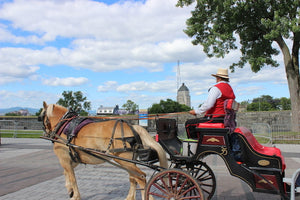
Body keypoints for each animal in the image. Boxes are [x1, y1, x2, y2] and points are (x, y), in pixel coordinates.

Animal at [38, 102, 168, 200]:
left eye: (41, 117)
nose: (45, 133)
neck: (64, 126)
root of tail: (132, 127)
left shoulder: (64, 159)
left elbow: (72, 178)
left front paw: (75, 195)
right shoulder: (71, 160)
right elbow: (66, 174)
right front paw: (70, 191)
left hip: (123, 160)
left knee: (140, 177)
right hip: (129, 161)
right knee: (133, 178)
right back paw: (129, 197)